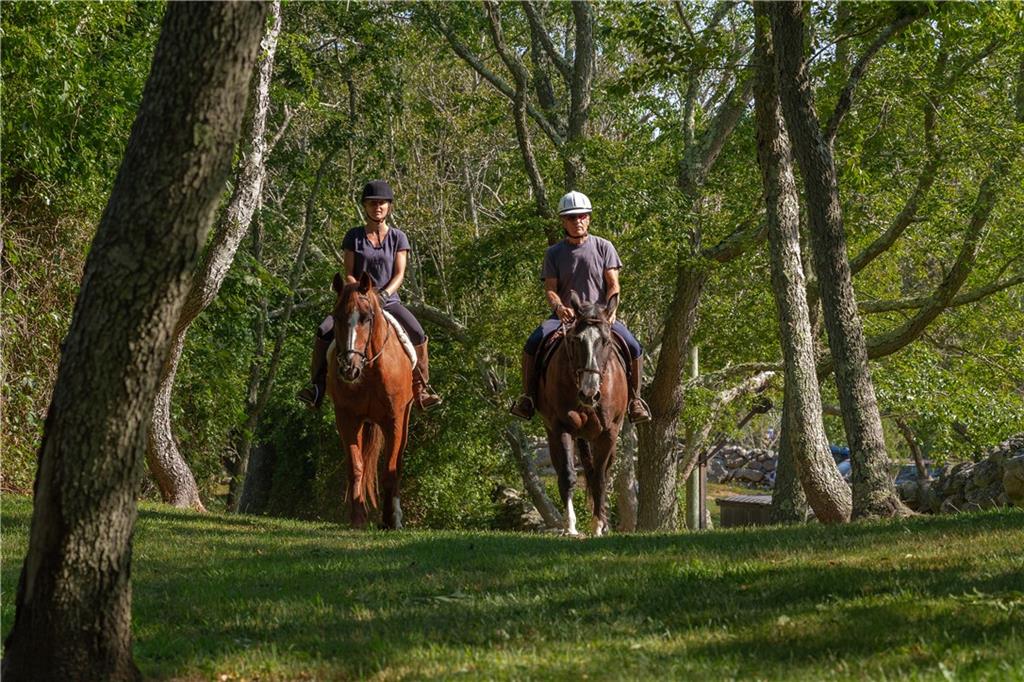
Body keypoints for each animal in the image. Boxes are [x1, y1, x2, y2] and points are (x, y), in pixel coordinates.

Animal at [323, 270, 411, 524]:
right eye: (337, 317)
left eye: (366, 318)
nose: (348, 369)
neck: (369, 370)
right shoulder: (347, 418)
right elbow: (356, 468)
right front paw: (358, 518)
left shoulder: (394, 419)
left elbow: (390, 469)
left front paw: (392, 519)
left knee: (397, 464)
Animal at [536, 288, 622, 532]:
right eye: (576, 340)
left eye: (605, 341)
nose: (589, 394)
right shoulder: (561, 427)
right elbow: (568, 475)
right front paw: (571, 526)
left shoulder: (609, 433)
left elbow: (600, 478)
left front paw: (598, 525)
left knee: (599, 473)